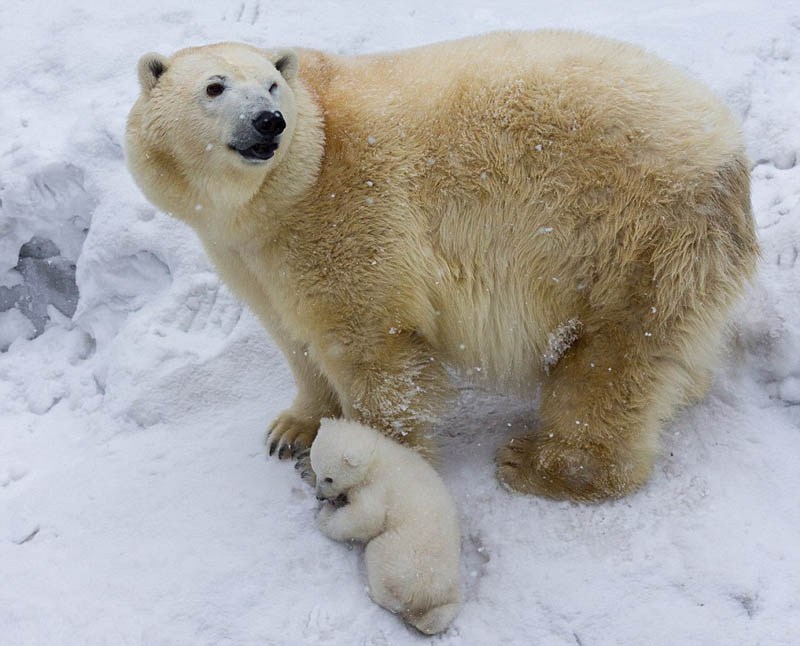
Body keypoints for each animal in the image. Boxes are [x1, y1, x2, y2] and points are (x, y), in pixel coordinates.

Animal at [125, 31, 756, 502]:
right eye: (214, 86)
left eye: (272, 83)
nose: (269, 121)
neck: (289, 187)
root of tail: (729, 155)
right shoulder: (248, 253)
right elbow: (291, 334)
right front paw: (292, 429)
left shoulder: (349, 215)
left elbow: (370, 350)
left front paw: (369, 471)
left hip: (628, 237)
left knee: (613, 359)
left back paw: (538, 464)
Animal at [312, 420, 462, 636]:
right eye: (316, 472)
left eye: (329, 478)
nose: (319, 497)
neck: (375, 456)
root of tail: (425, 597)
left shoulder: (378, 486)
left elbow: (368, 516)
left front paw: (325, 517)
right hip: (448, 586)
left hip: (402, 555)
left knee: (379, 557)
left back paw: (375, 593)